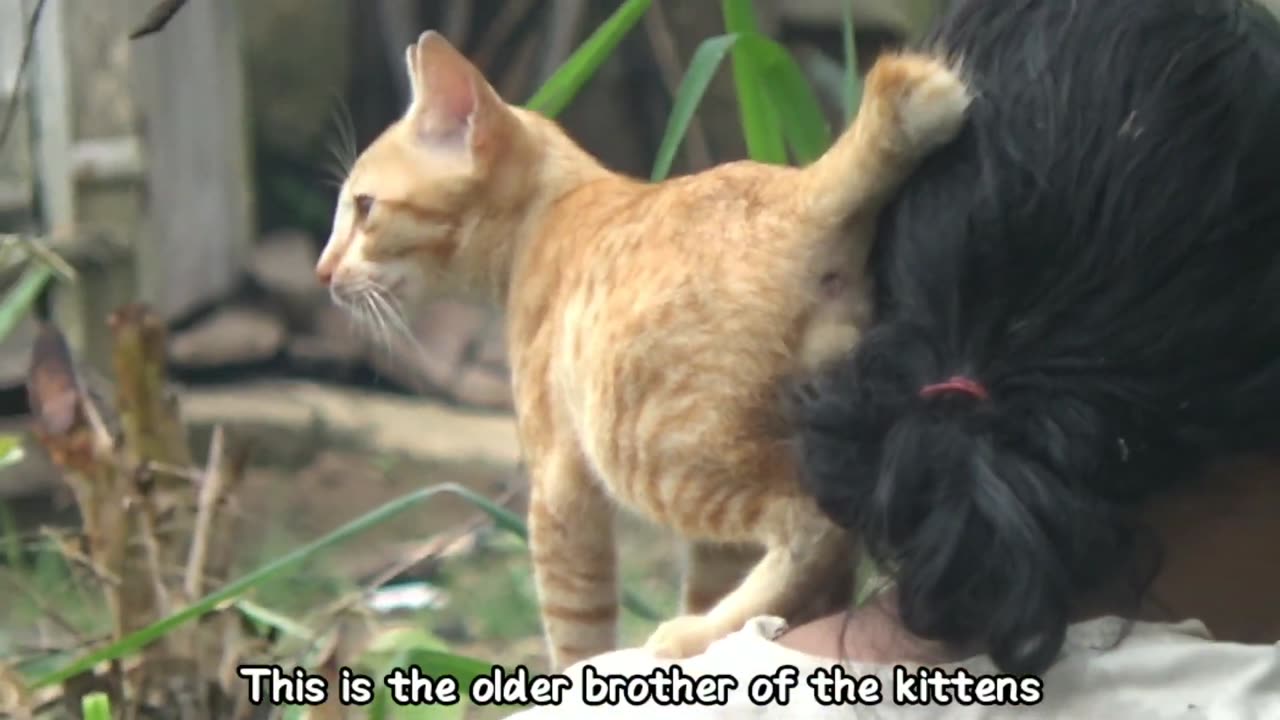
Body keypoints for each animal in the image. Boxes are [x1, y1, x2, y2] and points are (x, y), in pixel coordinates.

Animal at [314, 28, 962, 666]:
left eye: (364, 208)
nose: (322, 272)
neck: (554, 211)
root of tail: (801, 190)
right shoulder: (713, 547)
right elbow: (710, 576)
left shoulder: (559, 493)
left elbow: (576, 628)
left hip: (653, 451)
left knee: (817, 528)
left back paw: (697, 633)